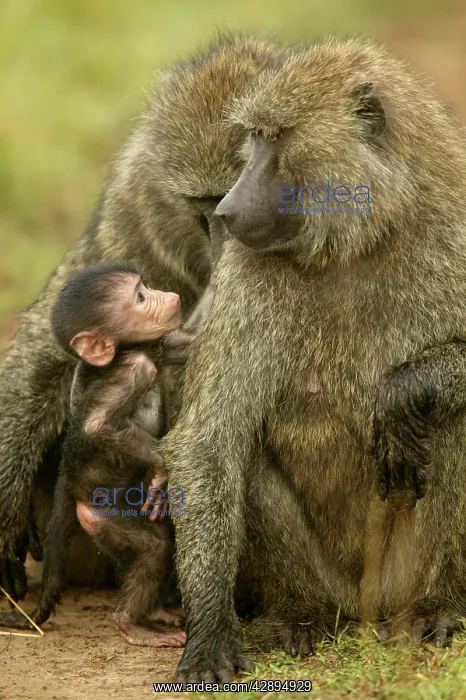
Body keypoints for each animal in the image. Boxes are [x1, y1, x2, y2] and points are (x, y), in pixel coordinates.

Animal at [160, 38, 466, 682]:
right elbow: (208, 443)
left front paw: (409, 388)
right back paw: (299, 615)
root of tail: (371, 610)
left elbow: (410, 398)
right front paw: (209, 634)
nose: (227, 210)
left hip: (401, 570)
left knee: (452, 419)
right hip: (334, 584)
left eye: (276, 138)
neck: (362, 238)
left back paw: (437, 605)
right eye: (253, 137)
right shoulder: (246, 272)